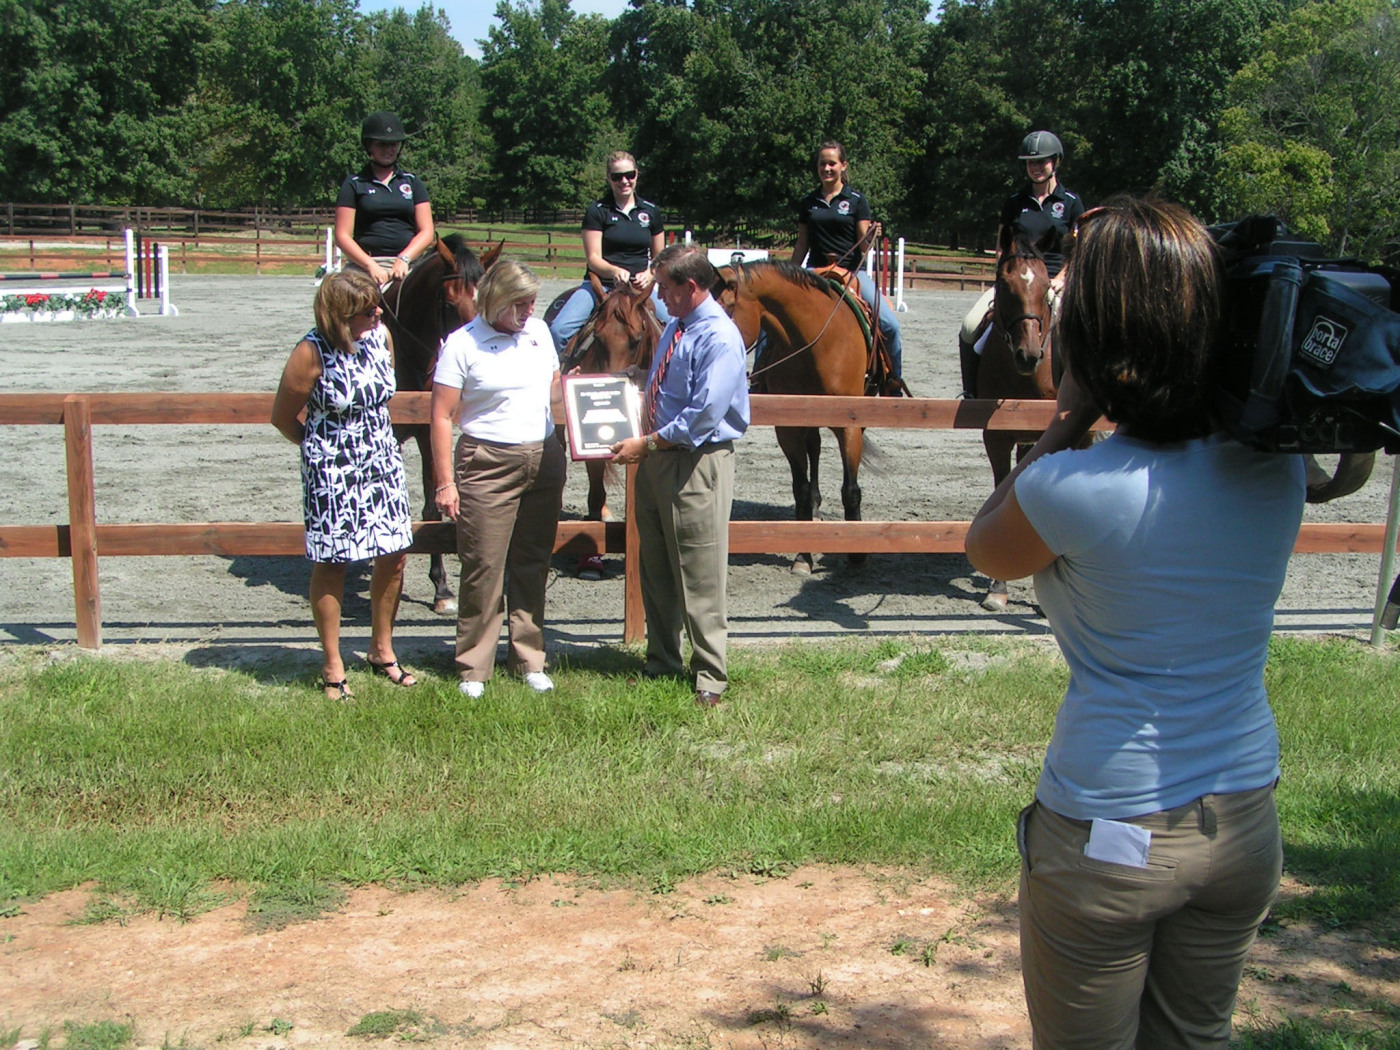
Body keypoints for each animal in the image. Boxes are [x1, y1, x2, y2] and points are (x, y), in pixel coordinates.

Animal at [716, 263, 879, 576]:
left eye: (722, 309)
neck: (816, 343)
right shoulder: (788, 428)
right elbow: (800, 489)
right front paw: (803, 555)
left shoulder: (850, 425)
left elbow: (851, 490)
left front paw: (857, 553)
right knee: (814, 449)